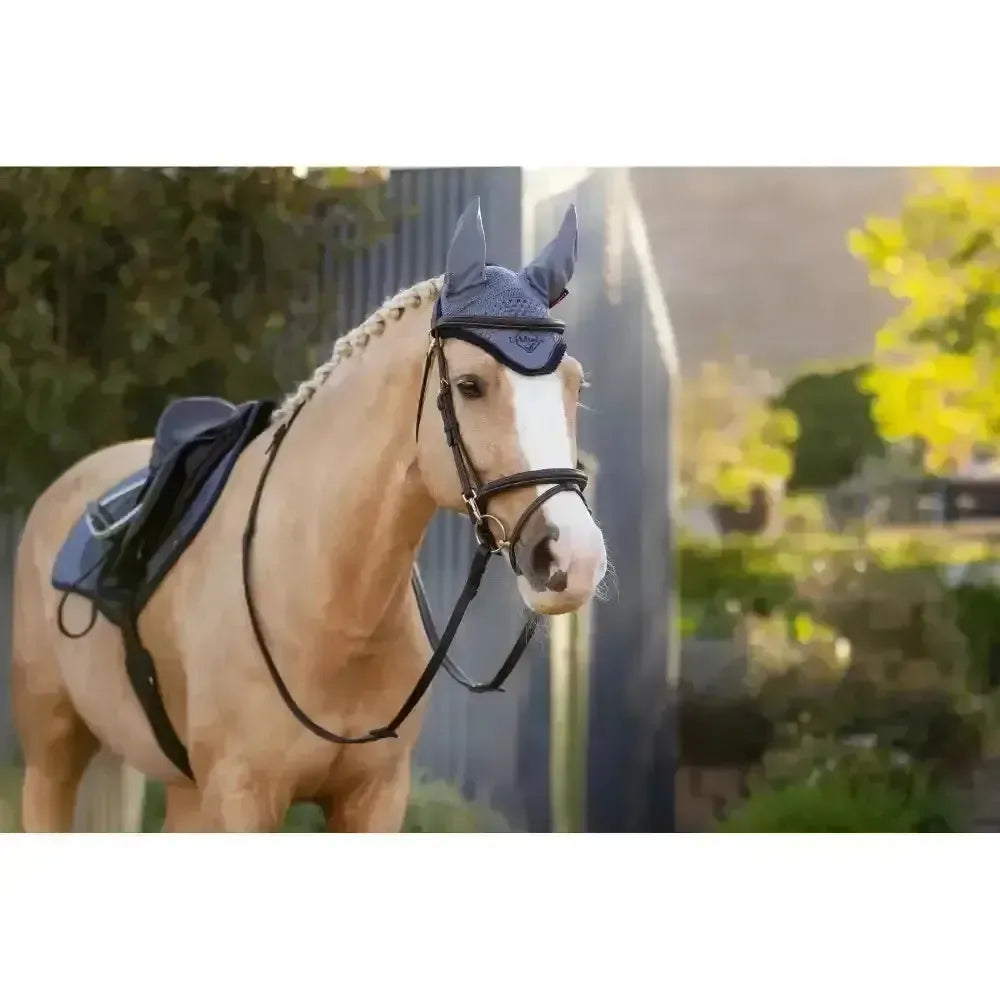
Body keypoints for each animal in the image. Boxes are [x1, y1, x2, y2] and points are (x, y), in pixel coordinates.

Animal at [9, 197, 608, 832]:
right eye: (470, 385)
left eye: (576, 385)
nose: (572, 555)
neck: (326, 601)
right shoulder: (242, 797)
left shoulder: (374, 797)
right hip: (53, 755)